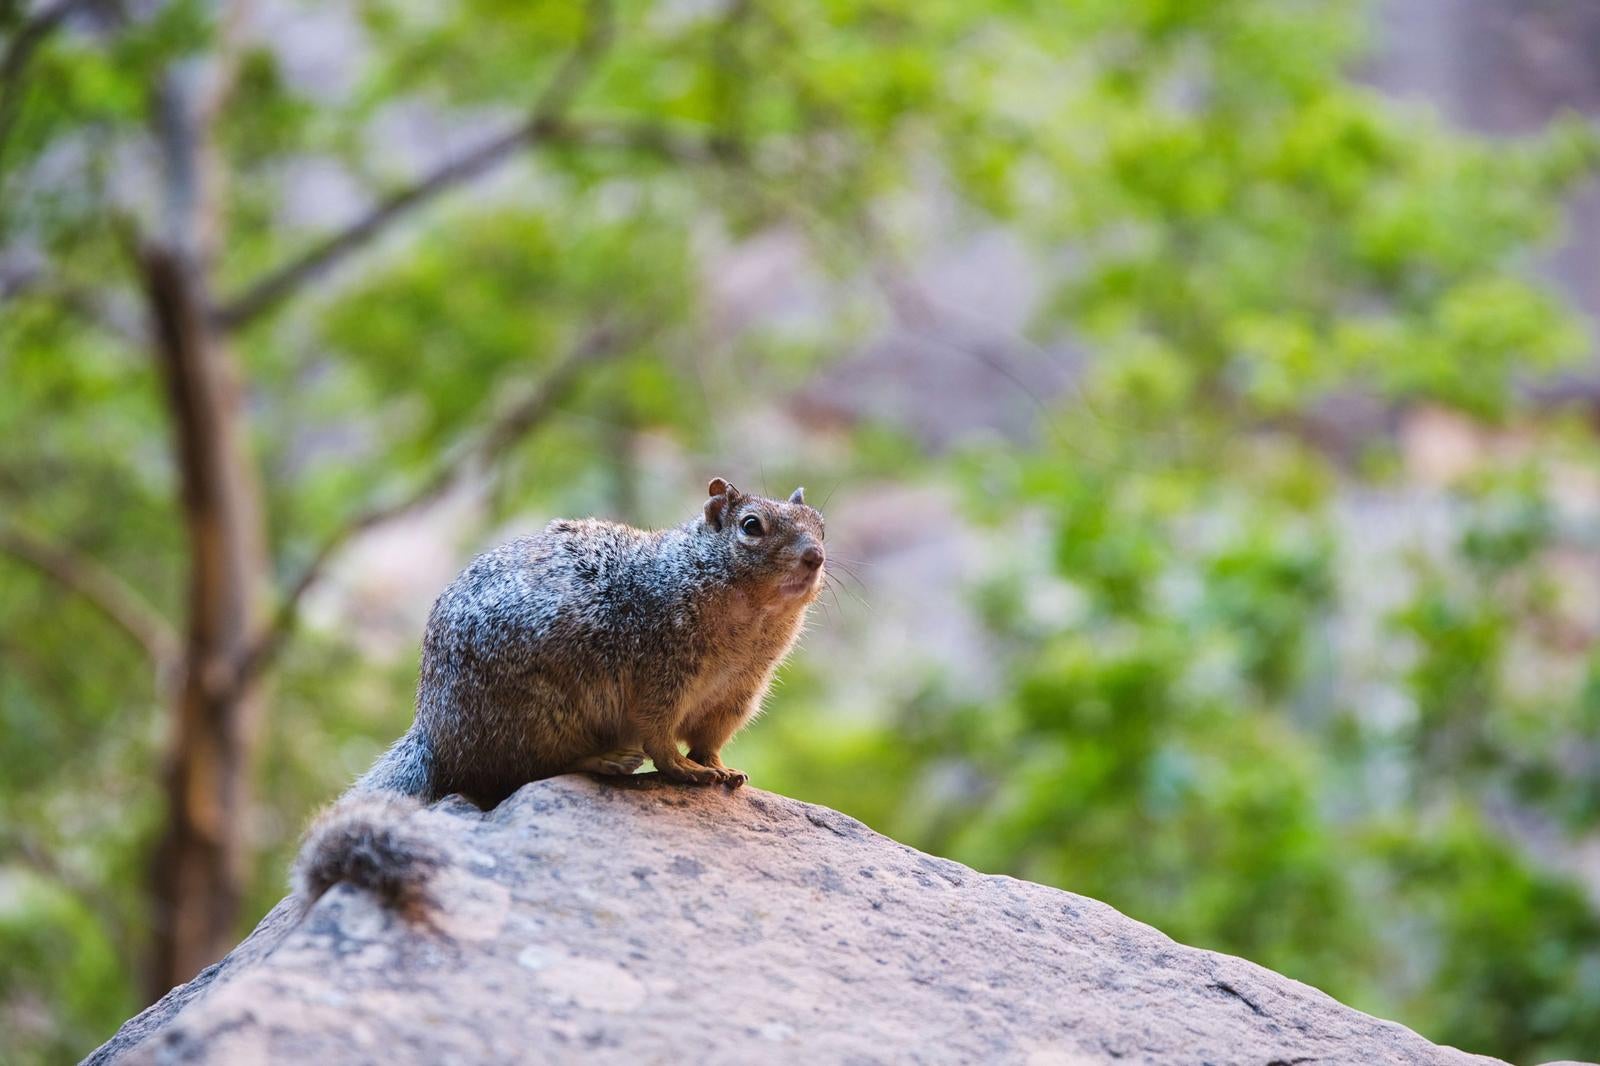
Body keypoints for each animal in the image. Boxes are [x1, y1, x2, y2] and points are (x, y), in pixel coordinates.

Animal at [292, 477, 826, 913]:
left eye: (820, 524)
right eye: (751, 526)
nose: (816, 557)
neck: (749, 620)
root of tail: (433, 733)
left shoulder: (736, 694)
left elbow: (710, 740)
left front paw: (719, 767)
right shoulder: (662, 676)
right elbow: (659, 738)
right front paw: (684, 770)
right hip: (542, 716)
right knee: (525, 771)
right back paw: (606, 761)